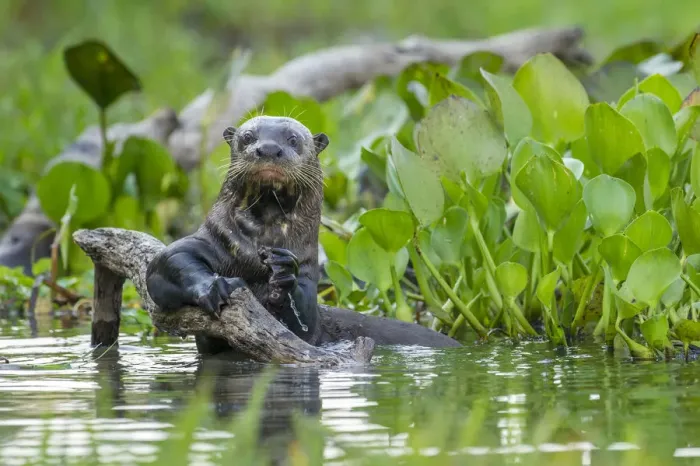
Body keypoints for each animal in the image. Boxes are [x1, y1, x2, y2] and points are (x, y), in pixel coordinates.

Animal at [146, 116, 327, 354]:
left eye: (293, 139)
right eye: (248, 137)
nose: (268, 148)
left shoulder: (308, 270)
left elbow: (306, 326)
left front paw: (285, 271)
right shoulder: (214, 238)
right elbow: (168, 260)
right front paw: (215, 287)